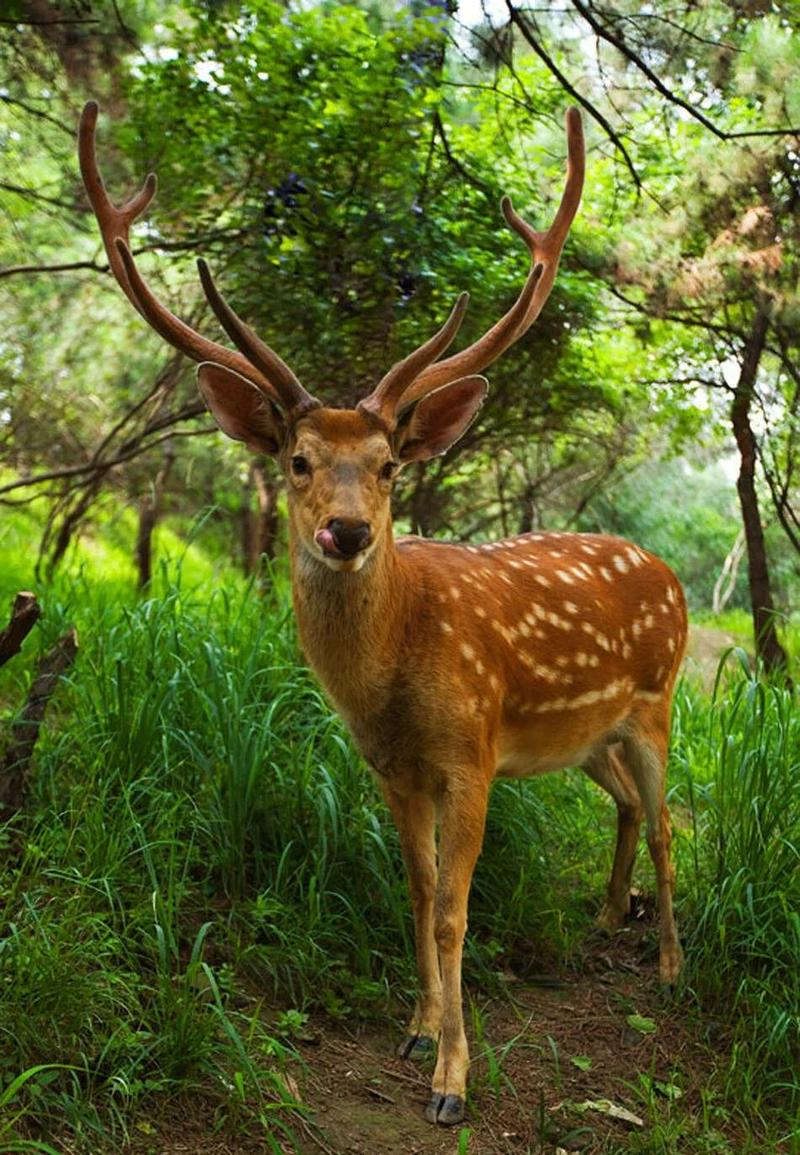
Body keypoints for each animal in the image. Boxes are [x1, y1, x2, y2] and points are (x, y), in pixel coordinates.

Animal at [79, 101, 687, 1126]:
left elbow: (454, 909)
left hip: (657, 702)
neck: (394, 672)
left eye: (390, 465)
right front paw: (415, 1027)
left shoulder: (472, 752)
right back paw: (608, 917)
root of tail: (669, 572)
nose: (347, 529)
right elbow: (414, 890)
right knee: (631, 808)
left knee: (670, 820)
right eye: (297, 460)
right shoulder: (393, 769)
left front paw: (452, 1080)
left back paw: (675, 964)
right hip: (584, 736)